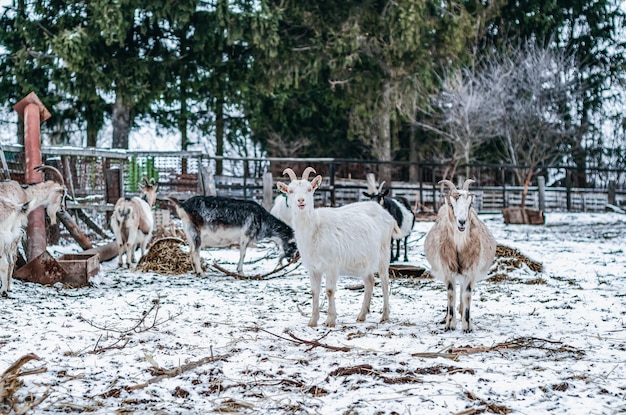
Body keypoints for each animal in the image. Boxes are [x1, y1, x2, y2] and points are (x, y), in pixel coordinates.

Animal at [168, 195, 298, 276]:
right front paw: (241, 272)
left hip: (189, 233)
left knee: (190, 251)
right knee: (195, 252)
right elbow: (243, 254)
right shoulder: (245, 236)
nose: (290, 259)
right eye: (294, 245)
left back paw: (195, 271)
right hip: (196, 232)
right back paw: (201, 273)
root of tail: (183, 205)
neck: (262, 219)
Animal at [276, 167, 400, 326]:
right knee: (370, 282)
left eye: (309, 189)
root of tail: (387, 215)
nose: (301, 201)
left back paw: (384, 316)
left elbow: (329, 290)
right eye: (290, 191)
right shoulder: (313, 268)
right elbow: (314, 292)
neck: (315, 228)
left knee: (385, 282)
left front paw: (330, 320)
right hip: (364, 261)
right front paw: (312, 321)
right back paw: (361, 315)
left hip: (384, 253)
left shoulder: (332, 265)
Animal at [422, 180, 494, 334]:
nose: (462, 222)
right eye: (451, 204)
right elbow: (450, 294)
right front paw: (450, 324)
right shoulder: (446, 269)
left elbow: (466, 294)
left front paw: (467, 325)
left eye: (470, 204)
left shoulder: (471, 269)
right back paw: (446, 317)